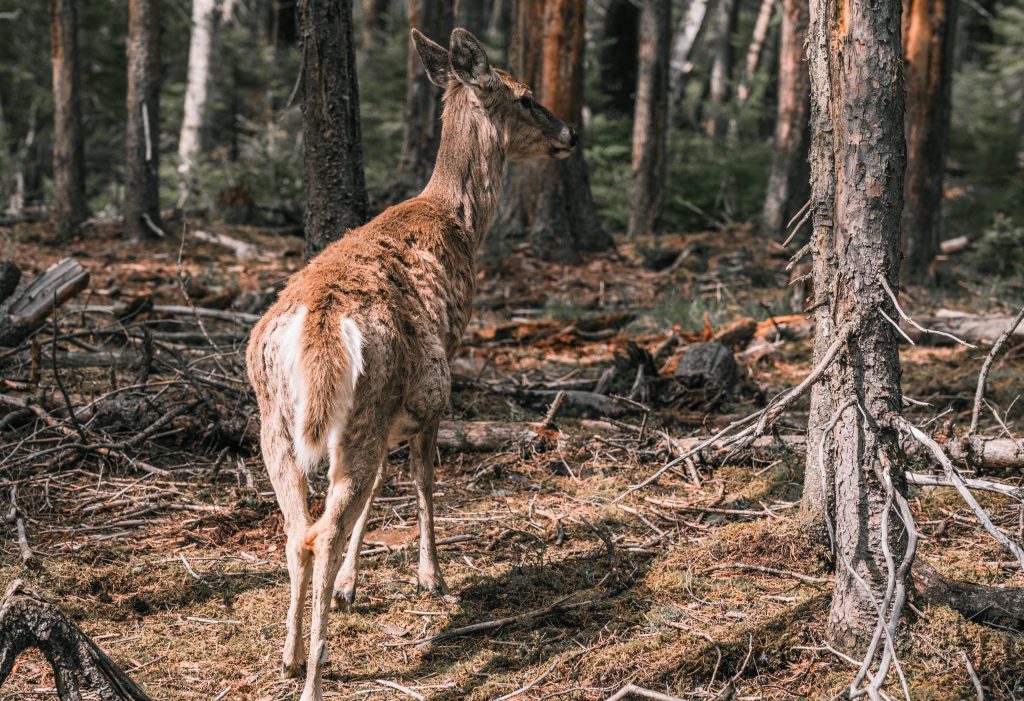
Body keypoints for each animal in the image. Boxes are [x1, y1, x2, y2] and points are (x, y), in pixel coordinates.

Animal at [241, 27, 577, 699]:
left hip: (277, 422)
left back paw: (287, 656)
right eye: (527, 96)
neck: (460, 225)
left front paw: (351, 585)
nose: (570, 134)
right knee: (321, 529)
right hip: (362, 407)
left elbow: (379, 489)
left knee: (296, 530)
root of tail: (318, 323)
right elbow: (422, 479)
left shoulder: (397, 405)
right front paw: (433, 576)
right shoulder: (436, 384)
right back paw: (315, 672)